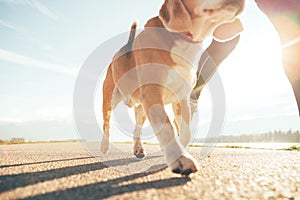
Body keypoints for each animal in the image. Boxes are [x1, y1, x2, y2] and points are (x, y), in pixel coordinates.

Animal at [102, 0, 245, 175]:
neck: (183, 40)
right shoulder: (153, 93)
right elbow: (166, 127)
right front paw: (180, 159)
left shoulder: (181, 98)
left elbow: (186, 131)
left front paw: (179, 150)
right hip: (110, 98)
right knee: (106, 123)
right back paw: (104, 147)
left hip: (141, 110)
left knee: (137, 129)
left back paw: (138, 149)